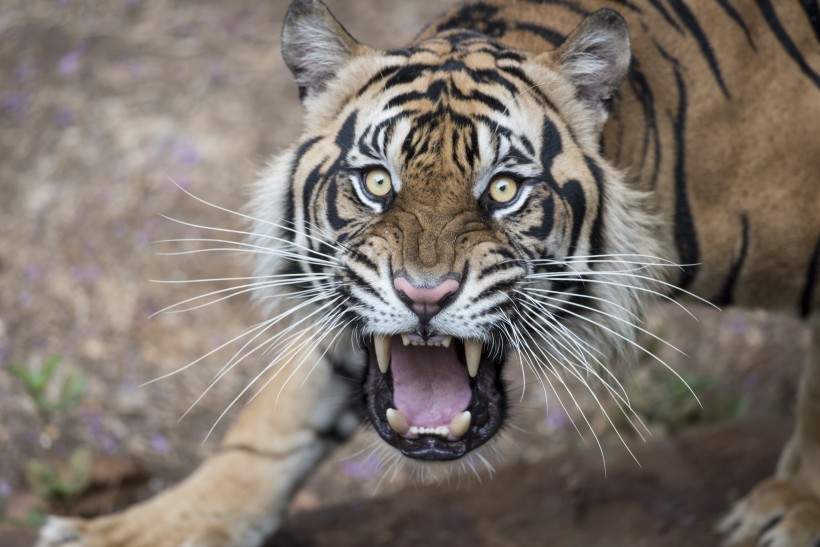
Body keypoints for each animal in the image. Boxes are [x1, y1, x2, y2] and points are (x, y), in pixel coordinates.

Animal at [38, 0, 819, 546]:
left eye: (502, 189)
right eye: (378, 182)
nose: (423, 296)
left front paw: (794, 507)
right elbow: (275, 416)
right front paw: (140, 528)